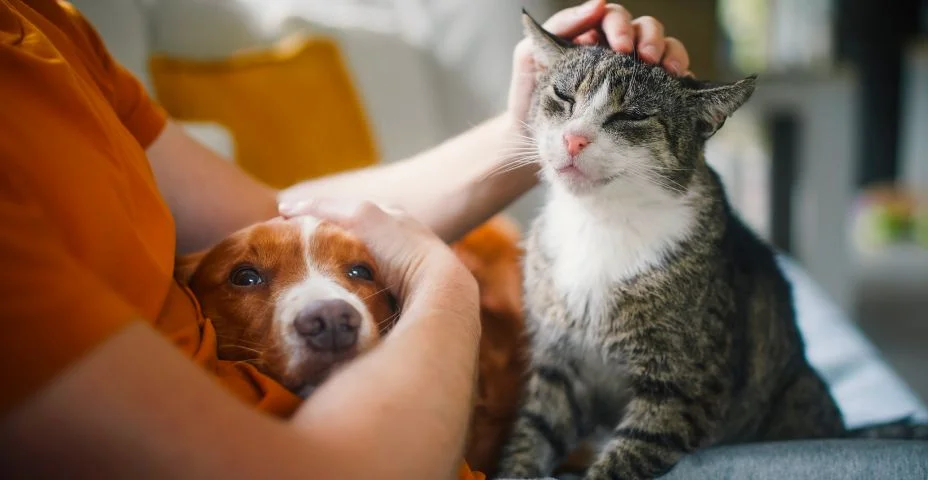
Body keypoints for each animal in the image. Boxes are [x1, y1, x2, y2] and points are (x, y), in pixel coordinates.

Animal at [500, 11, 848, 480]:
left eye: (631, 115)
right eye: (563, 95)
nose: (574, 139)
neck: (601, 221)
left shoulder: (683, 387)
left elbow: (626, 456)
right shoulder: (559, 366)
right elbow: (532, 434)